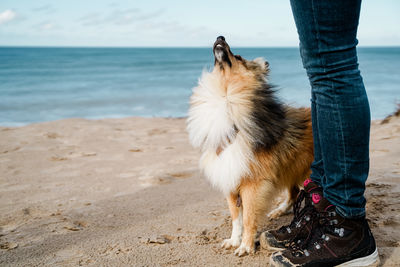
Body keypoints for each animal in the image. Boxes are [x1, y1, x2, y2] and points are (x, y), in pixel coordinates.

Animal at [186, 36, 314, 256]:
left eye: (237, 56)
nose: (220, 37)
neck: (226, 93)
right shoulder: (230, 177)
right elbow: (235, 217)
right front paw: (234, 241)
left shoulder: (253, 184)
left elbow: (248, 218)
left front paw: (245, 246)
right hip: (289, 168)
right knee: (293, 193)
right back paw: (280, 210)